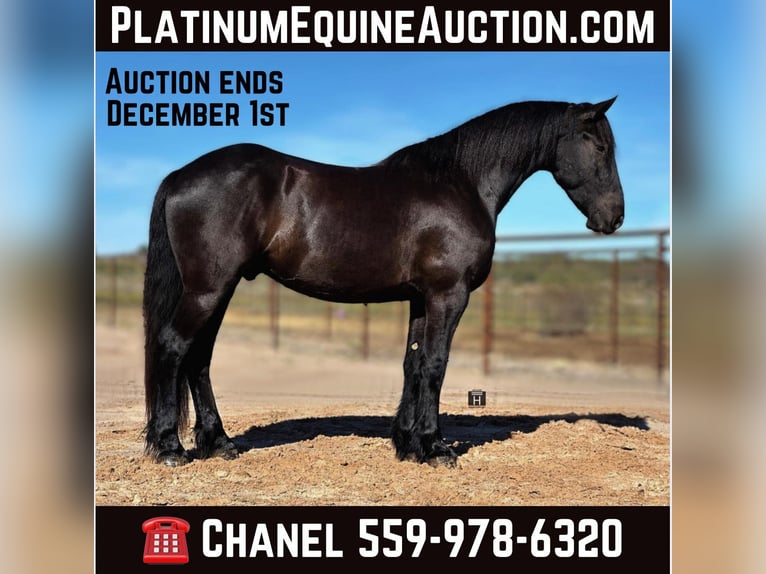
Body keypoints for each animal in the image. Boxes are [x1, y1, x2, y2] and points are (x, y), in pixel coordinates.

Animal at [143, 97, 624, 467]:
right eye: (600, 146)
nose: (614, 217)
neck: (461, 183)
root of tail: (180, 175)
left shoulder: (421, 299)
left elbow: (413, 364)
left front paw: (408, 444)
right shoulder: (448, 295)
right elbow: (435, 364)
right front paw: (435, 448)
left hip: (218, 290)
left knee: (199, 358)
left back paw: (218, 442)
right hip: (208, 289)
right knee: (173, 347)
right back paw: (170, 448)